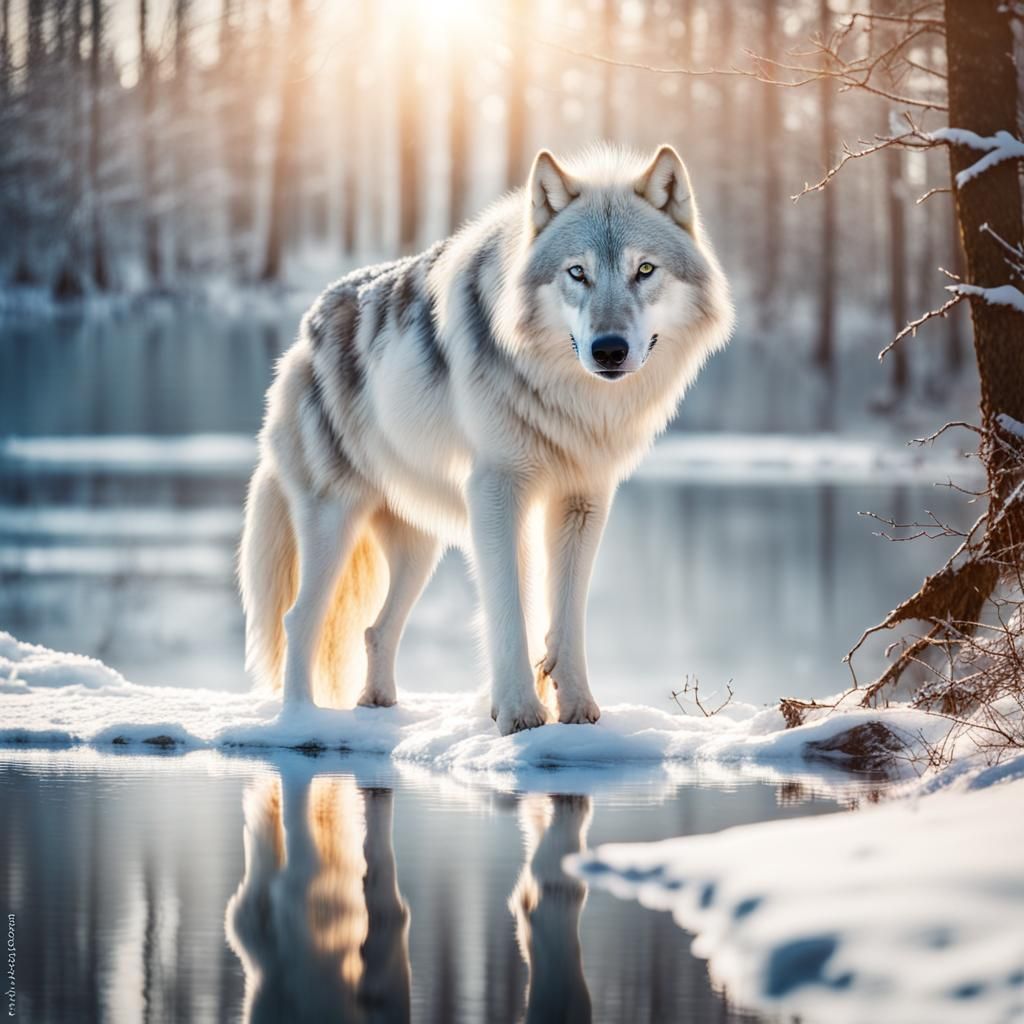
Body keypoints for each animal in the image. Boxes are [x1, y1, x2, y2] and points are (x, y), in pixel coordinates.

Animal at [239, 143, 733, 735]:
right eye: (577, 273)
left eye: (644, 270)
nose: (609, 349)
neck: (572, 399)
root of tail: (303, 335)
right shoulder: (496, 492)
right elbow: (509, 611)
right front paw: (518, 713)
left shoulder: (584, 499)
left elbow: (568, 616)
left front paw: (579, 712)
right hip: (333, 520)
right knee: (299, 620)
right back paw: (299, 722)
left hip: (418, 549)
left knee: (375, 630)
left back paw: (379, 707)